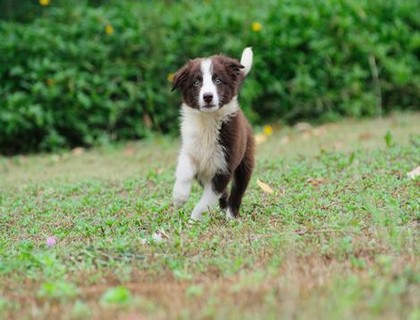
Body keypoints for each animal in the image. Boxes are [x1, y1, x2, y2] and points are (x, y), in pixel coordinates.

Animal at [171, 47, 256, 220]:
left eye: (218, 80)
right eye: (196, 82)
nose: (208, 96)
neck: (208, 121)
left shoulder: (224, 167)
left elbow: (206, 200)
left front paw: (193, 220)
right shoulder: (191, 150)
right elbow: (184, 171)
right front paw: (179, 197)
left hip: (245, 160)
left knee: (237, 191)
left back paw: (231, 216)